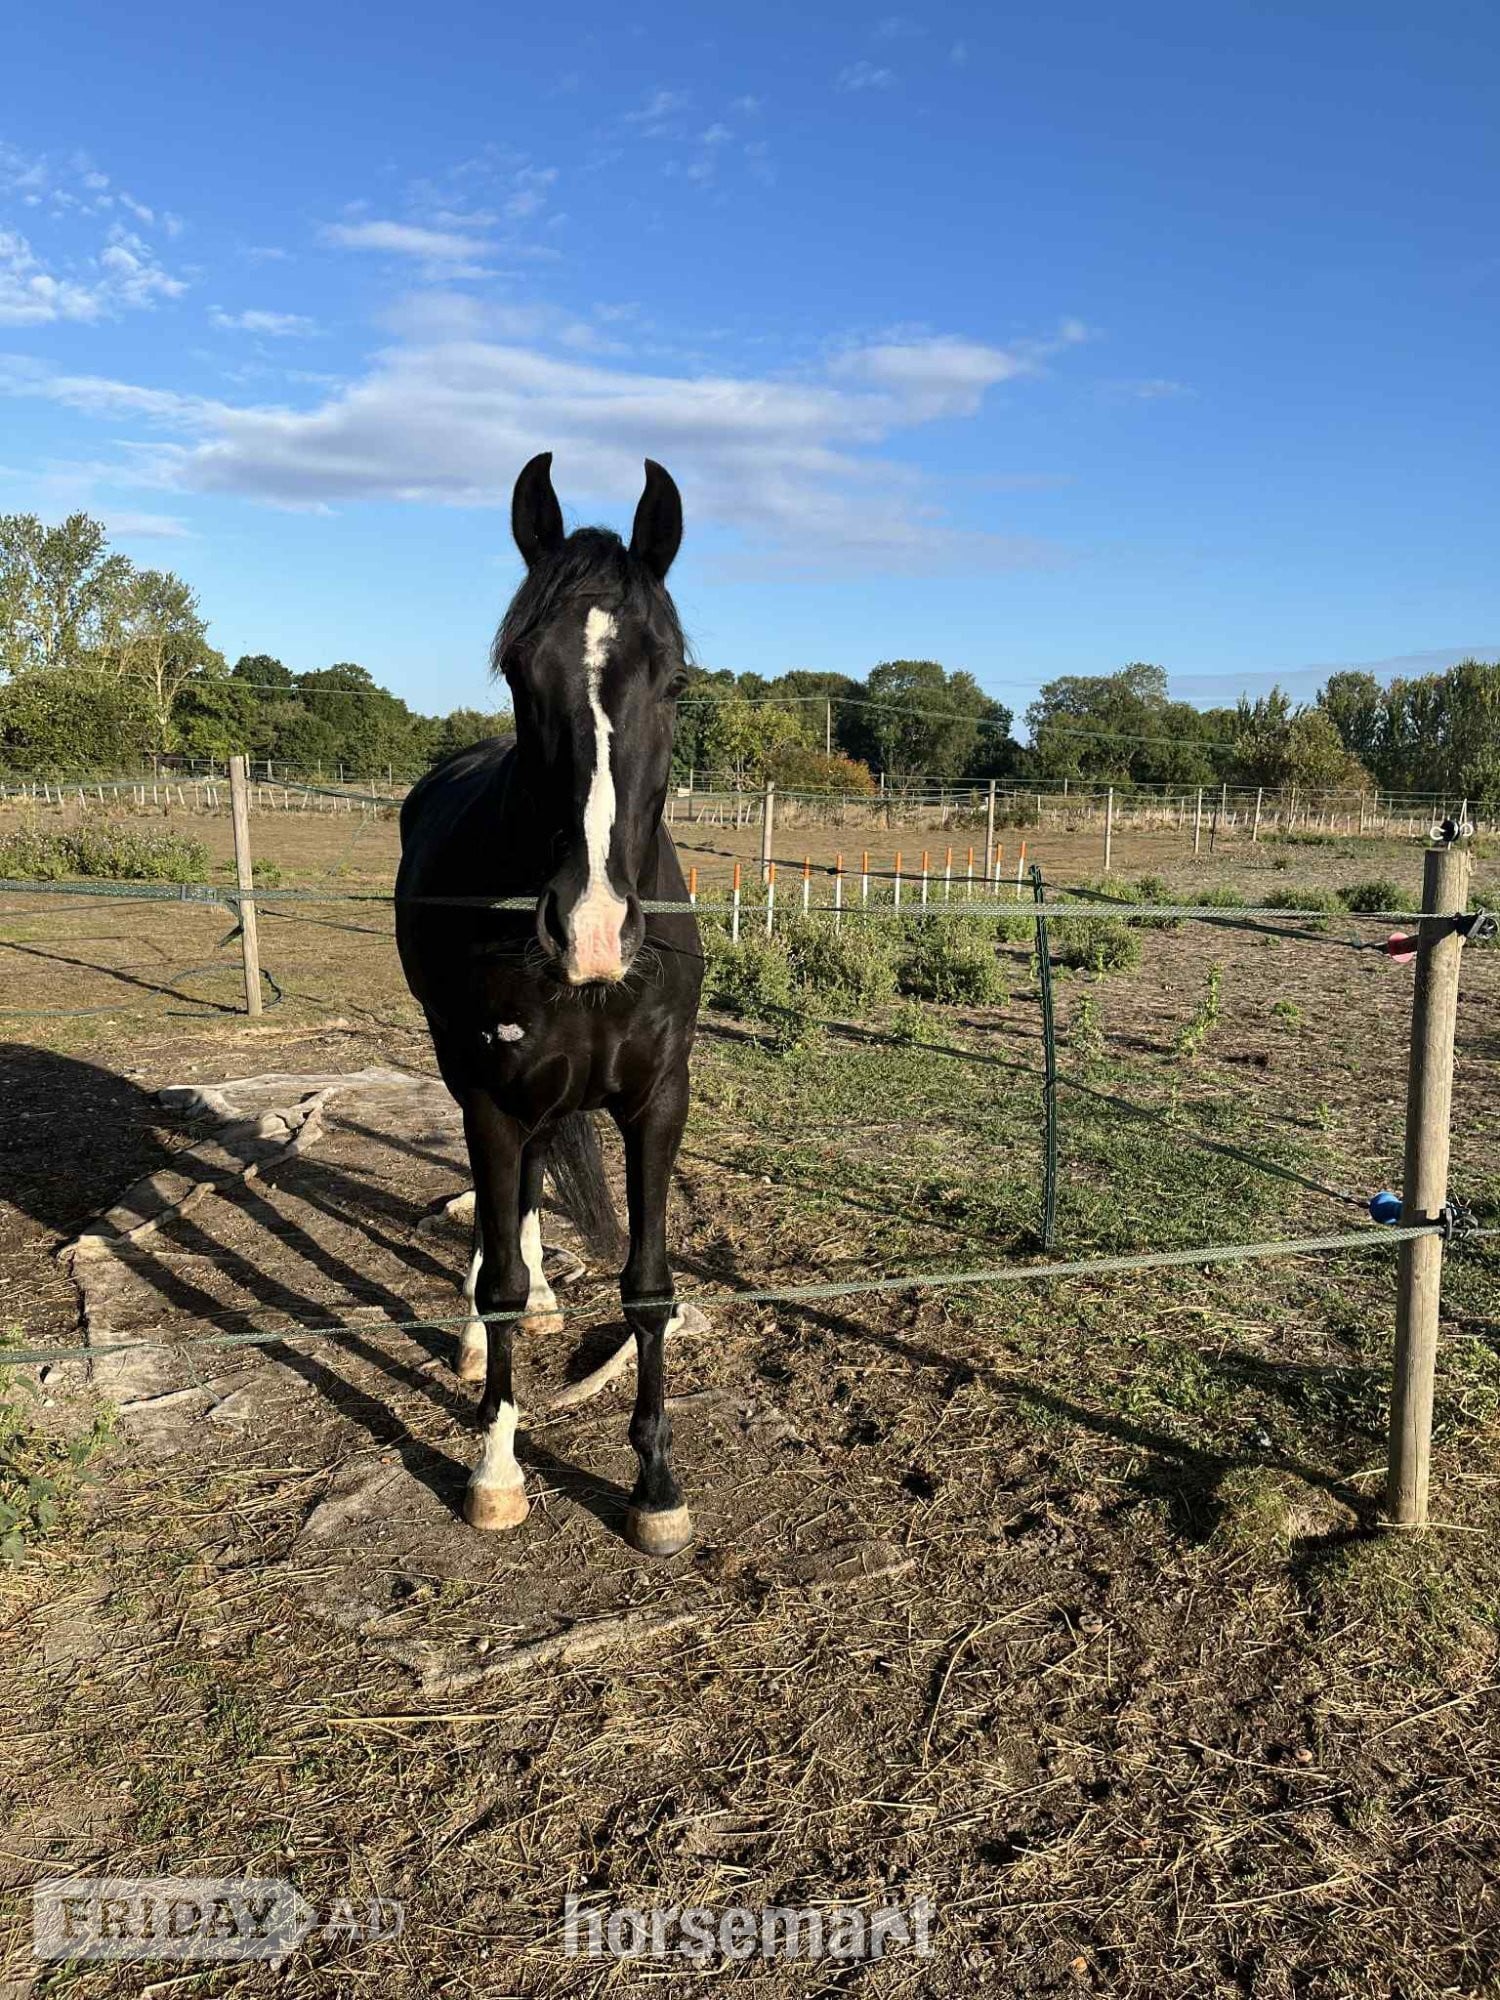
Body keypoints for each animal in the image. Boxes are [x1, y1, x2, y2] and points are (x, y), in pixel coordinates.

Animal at [395, 452, 704, 1558]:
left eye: (675, 677)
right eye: (521, 670)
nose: (593, 927)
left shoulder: (658, 1102)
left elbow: (648, 1287)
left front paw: (655, 1486)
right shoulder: (490, 1093)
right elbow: (497, 1283)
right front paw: (495, 1467)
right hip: (469, 1074)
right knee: (504, 1223)